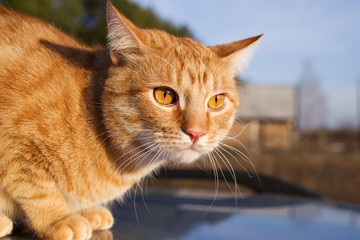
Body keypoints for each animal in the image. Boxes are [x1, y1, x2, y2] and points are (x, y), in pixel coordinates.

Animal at [0, 2, 260, 240]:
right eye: (164, 95)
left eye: (216, 101)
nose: (197, 132)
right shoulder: (15, 145)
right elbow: (35, 186)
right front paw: (58, 218)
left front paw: (86, 211)